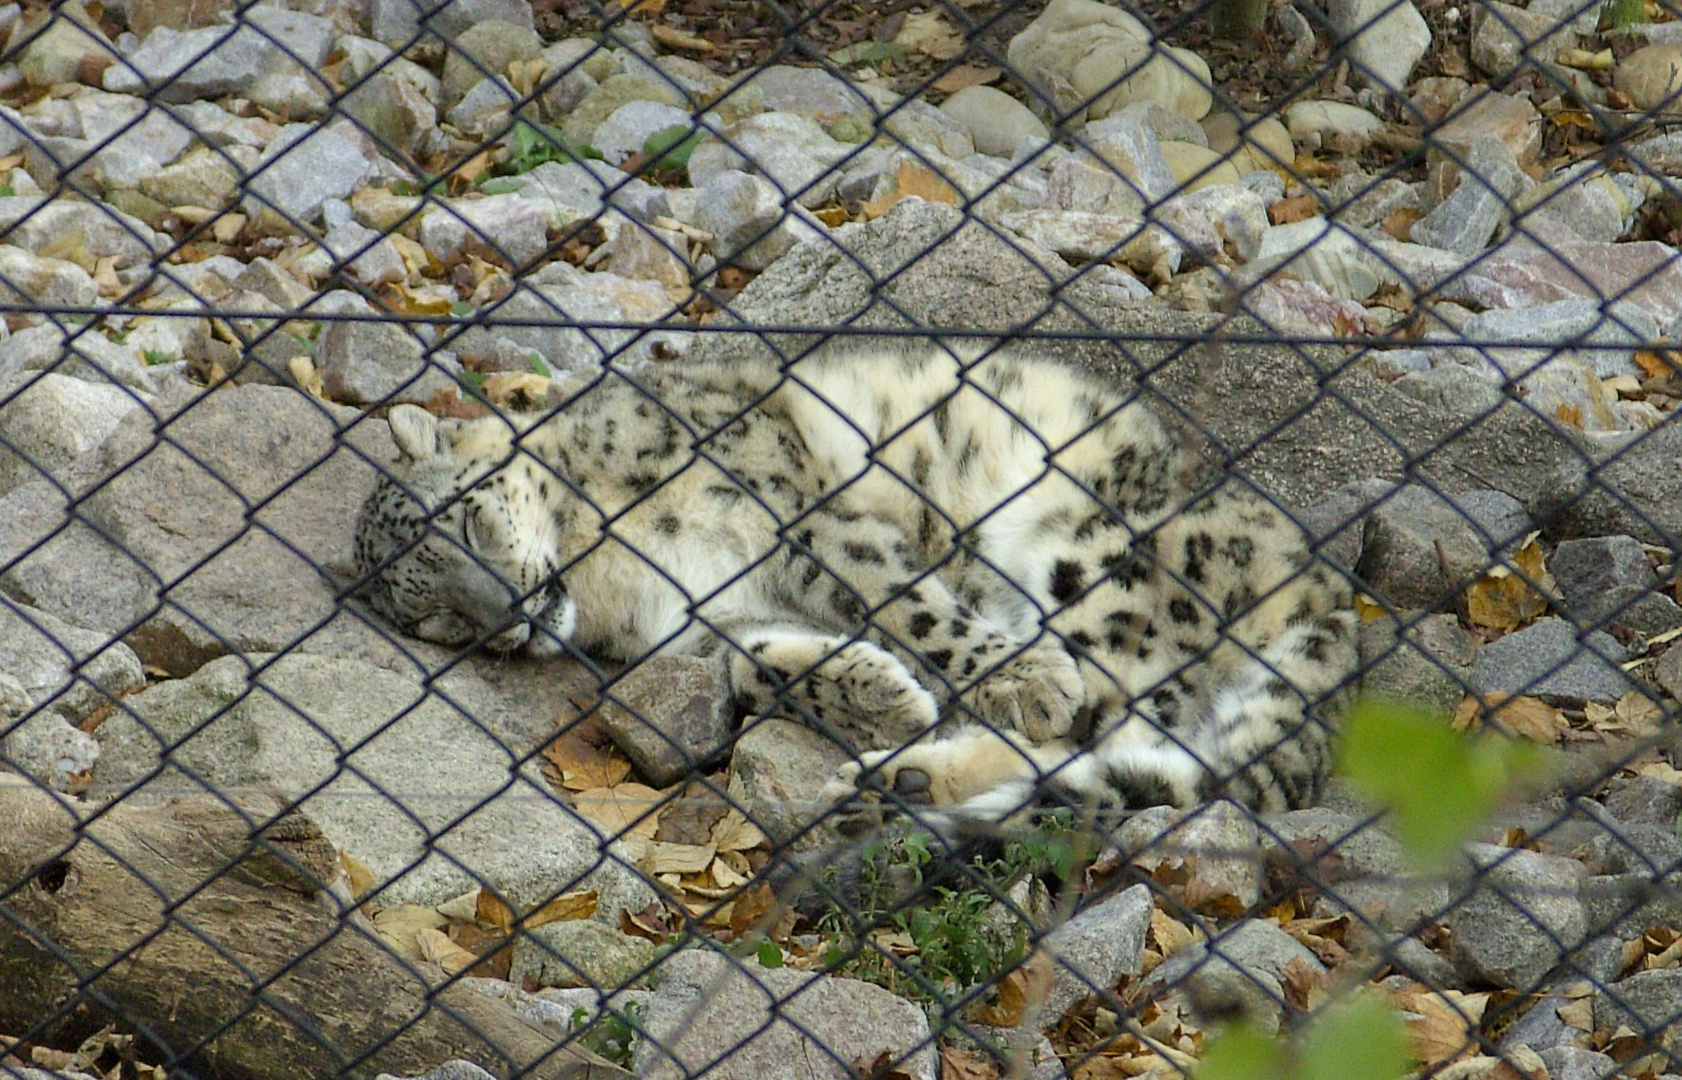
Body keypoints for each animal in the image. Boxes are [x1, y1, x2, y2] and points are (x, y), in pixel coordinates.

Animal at [351, 343, 1352, 814]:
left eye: (469, 520)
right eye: (439, 622)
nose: (513, 615)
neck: (609, 572)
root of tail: (1326, 584)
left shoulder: (795, 510)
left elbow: (901, 603)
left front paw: (1016, 678)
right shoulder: (711, 610)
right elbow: (751, 663)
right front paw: (880, 697)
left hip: (1099, 557)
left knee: (1115, 716)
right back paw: (902, 777)